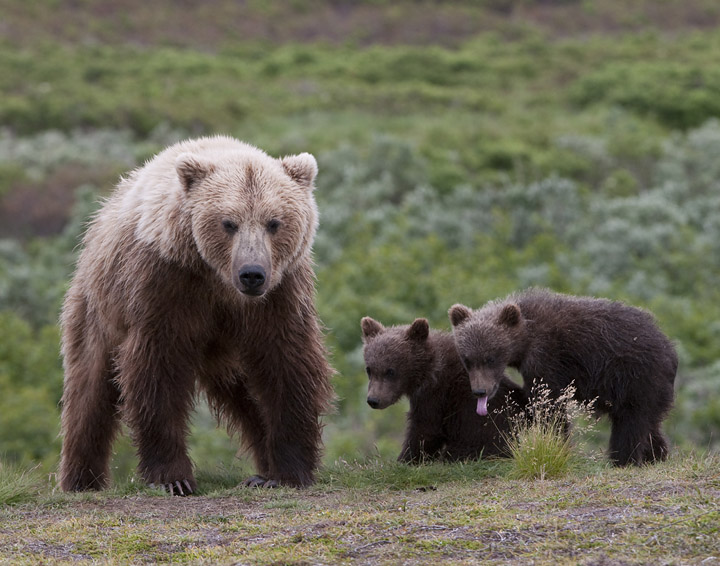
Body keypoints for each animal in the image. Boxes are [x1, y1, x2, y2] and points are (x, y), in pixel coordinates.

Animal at [59, 135, 334, 494]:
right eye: (228, 223)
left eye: (274, 222)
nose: (252, 274)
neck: (217, 281)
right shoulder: (166, 287)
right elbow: (156, 373)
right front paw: (173, 478)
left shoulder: (279, 295)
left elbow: (287, 366)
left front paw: (288, 472)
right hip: (98, 309)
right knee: (88, 393)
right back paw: (81, 480)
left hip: (230, 355)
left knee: (249, 396)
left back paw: (262, 471)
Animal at [361, 316, 528, 463]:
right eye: (369, 369)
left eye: (390, 371)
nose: (373, 400)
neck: (425, 372)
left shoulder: (437, 395)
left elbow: (425, 429)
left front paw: (405, 459)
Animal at [448, 288, 677, 466]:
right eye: (468, 360)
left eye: (491, 358)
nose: (480, 391)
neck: (525, 338)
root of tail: (670, 348)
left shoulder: (547, 356)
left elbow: (549, 403)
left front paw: (555, 441)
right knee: (649, 424)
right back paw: (656, 454)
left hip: (637, 378)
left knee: (630, 425)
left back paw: (624, 460)